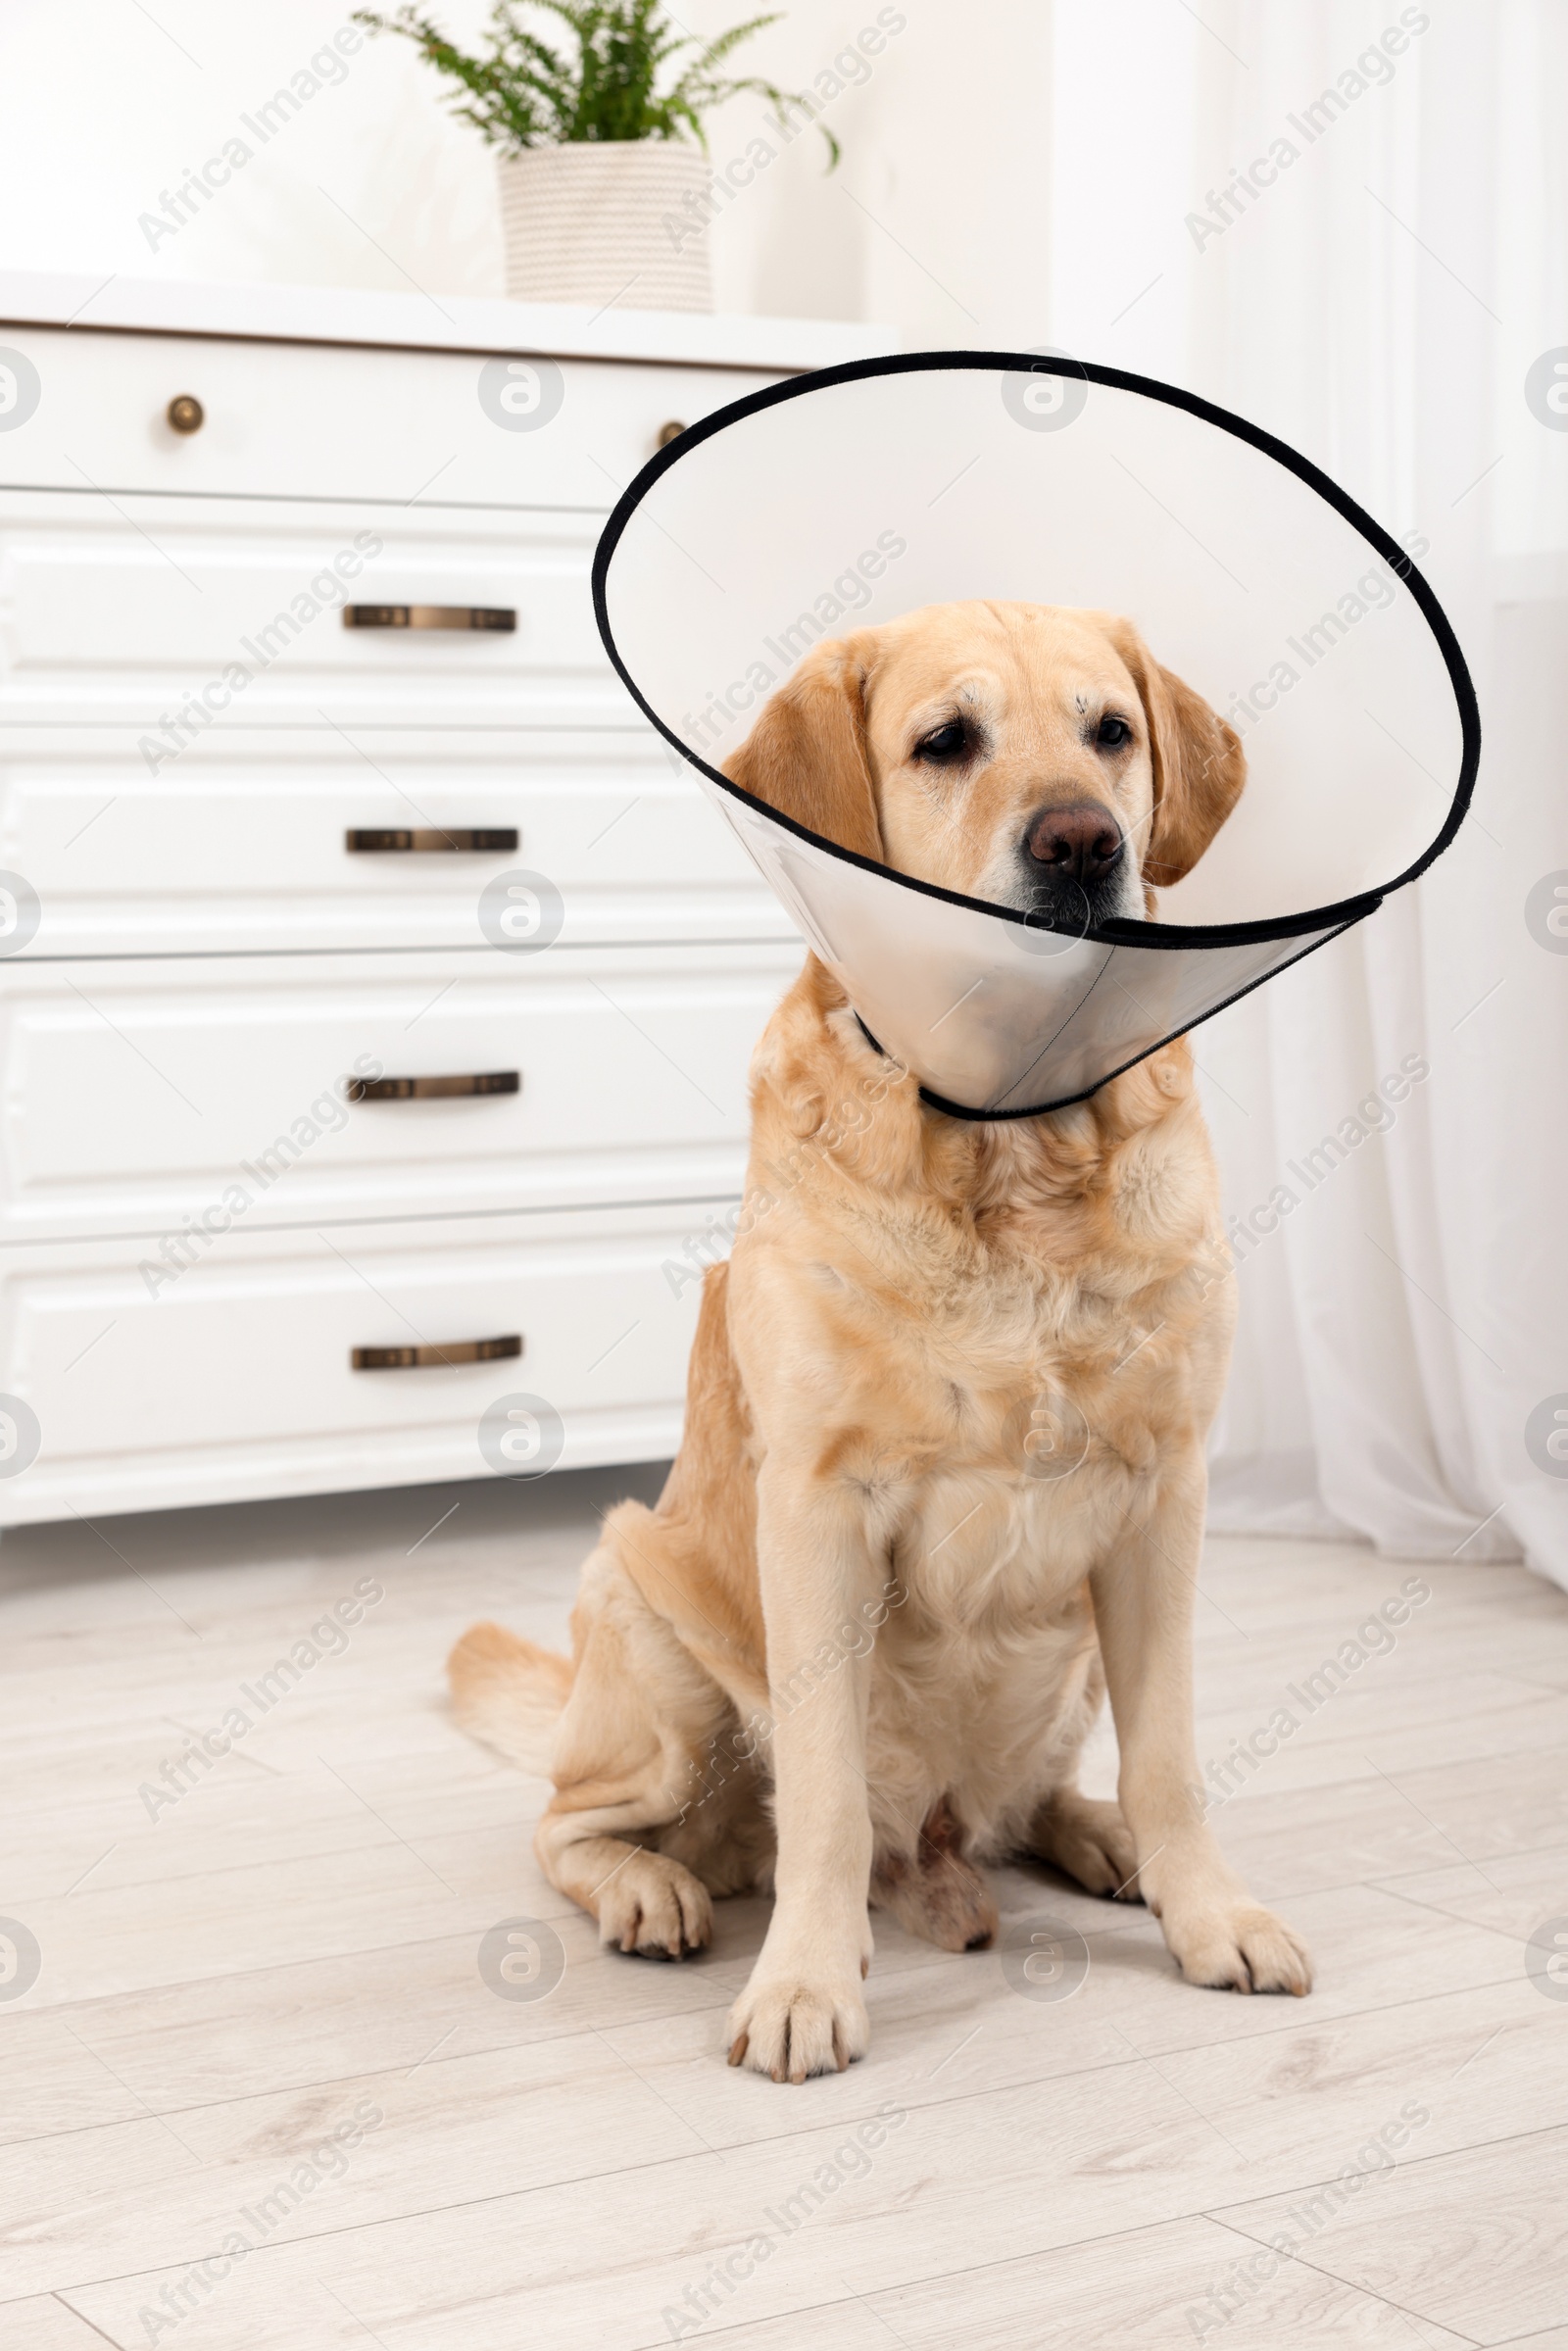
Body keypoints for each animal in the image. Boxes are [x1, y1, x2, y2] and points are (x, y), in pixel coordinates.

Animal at [451, 602, 1316, 2078]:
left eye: (1111, 731)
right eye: (944, 740)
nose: (1085, 843)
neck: (1011, 1146)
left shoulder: (1166, 1496)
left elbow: (1171, 1759)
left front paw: (1207, 1911)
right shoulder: (815, 1509)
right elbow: (824, 1792)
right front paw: (805, 1982)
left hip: (1078, 1650)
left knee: (1043, 1797)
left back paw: (1104, 1843)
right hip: (648, 1620)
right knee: (574, 1823)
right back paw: (649, 1889)